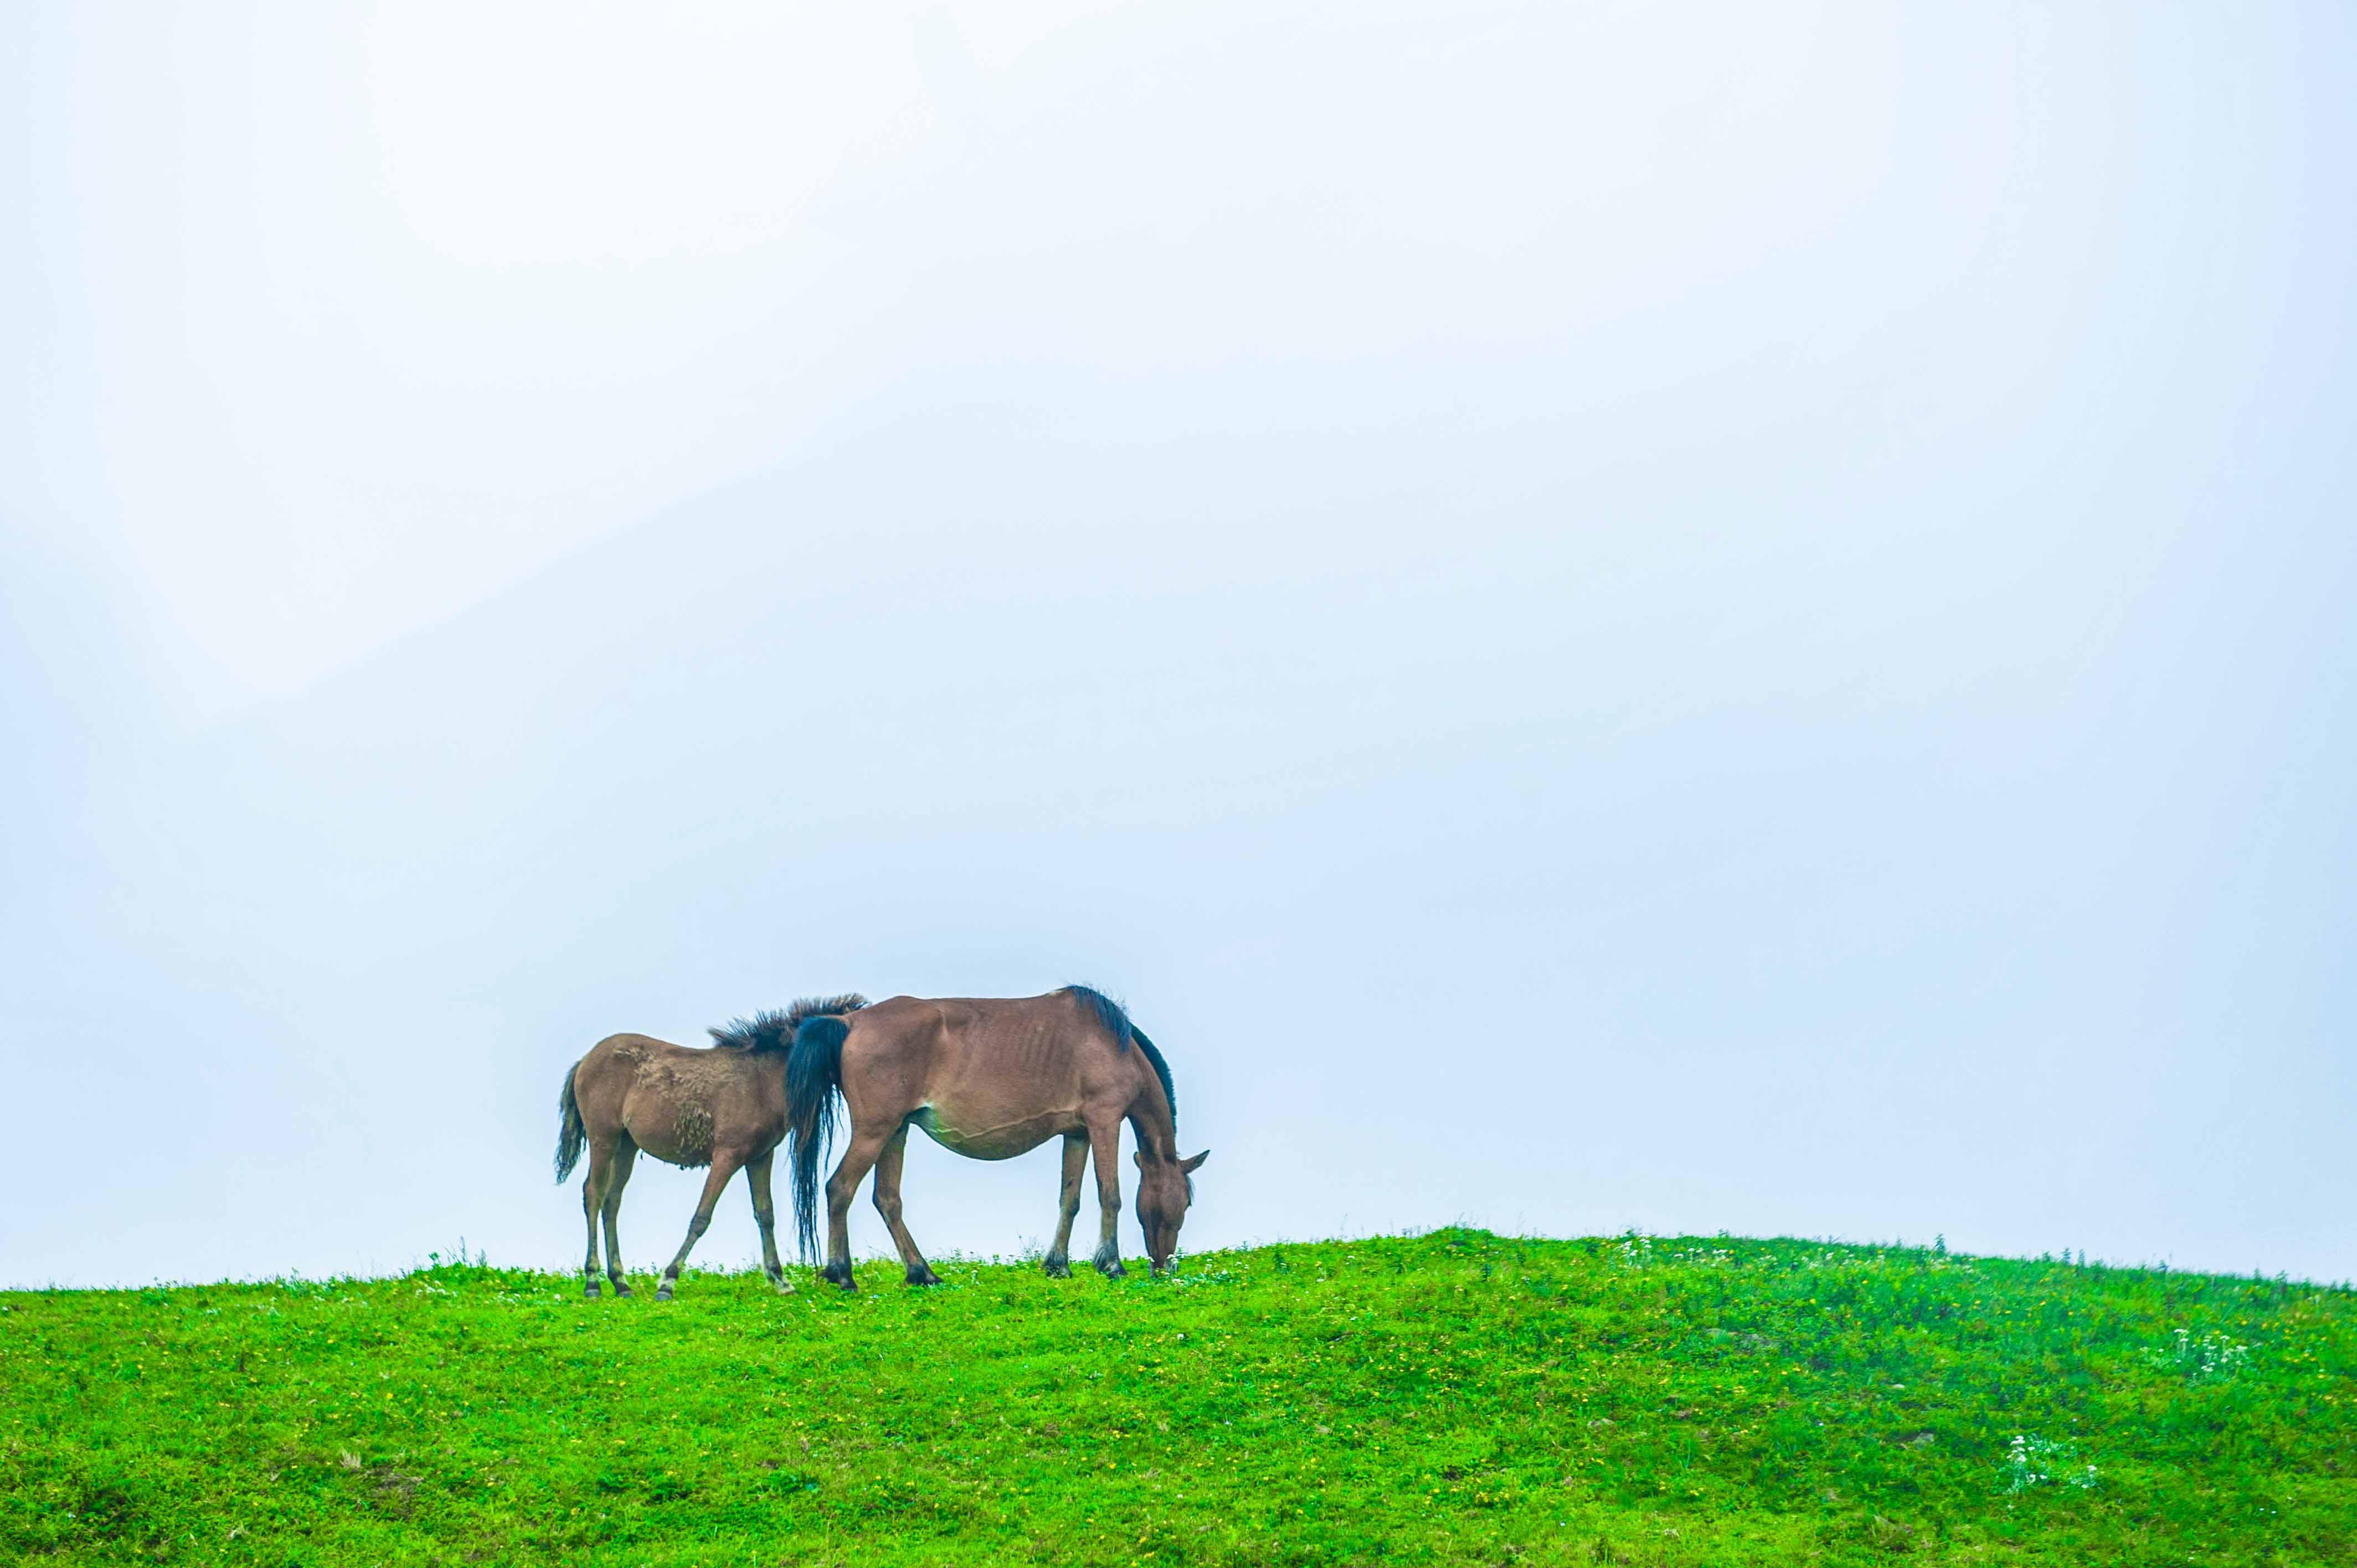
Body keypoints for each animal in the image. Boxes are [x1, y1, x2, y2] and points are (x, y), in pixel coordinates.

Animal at [551, 995, 867, 1301]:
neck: (762, 1081)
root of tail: (585, 1061)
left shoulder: (760, 1156)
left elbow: (765, 1214)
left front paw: (780, 1280)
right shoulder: (727, 1155)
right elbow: (702, 1217)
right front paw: (668, 1282)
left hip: (626, 1145)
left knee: (612, 1201)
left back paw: (621, 1283)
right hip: (603, 1138)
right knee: (593, 1193)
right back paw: (593, 1283)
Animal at [782, 990, 1207, 1282]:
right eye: (1186, 1203)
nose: (1164, 1267)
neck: (1117, 1046)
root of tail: (849, 1024)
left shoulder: (1077, 1134)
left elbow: (1069, 1200)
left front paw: (1058, 1265)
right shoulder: (1105, 1121)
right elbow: (1111, 1195)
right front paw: (1112, 1264)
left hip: (895, 1132)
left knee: (886, 1199)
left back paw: (922, 1274)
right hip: (875, 1131)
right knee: (839, 1189)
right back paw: (843, 1275)